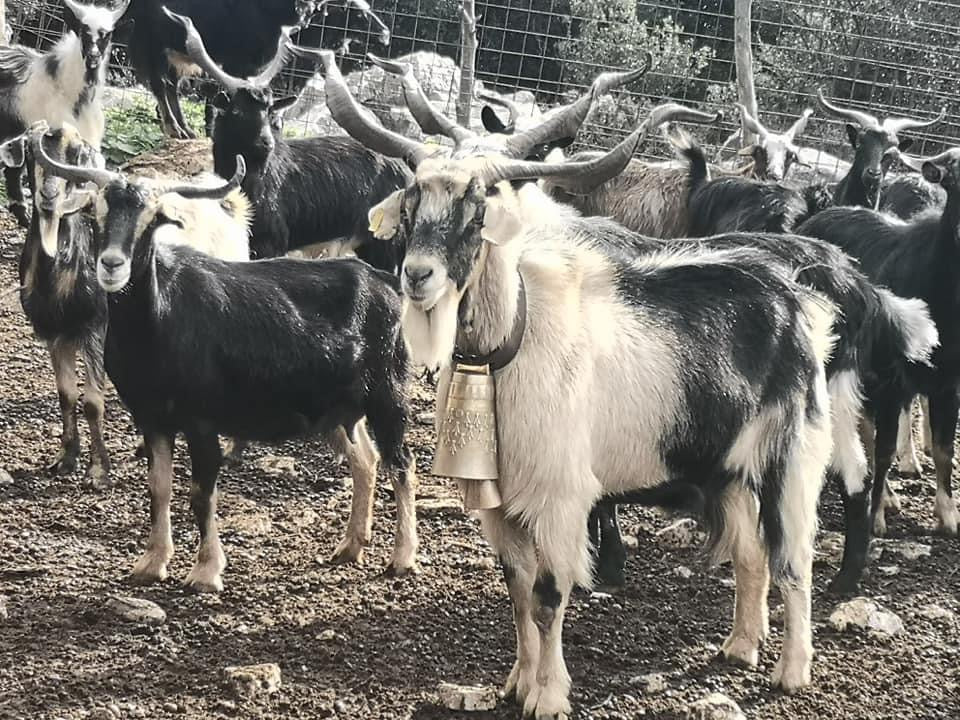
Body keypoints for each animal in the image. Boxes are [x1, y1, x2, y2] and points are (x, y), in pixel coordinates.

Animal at [37, 146, 419, 592]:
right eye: (95, 212)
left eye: (152, 219)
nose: (112, 265)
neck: (159, 318)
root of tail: (385, 284)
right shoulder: (152, 417)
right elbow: (159, 488)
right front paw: (151, 563)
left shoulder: (201, 419)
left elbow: (201, 493)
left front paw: (205, 571)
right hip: (340, 410)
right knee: (366, 461)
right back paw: (350, 546)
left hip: (388, 393)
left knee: (401, 464)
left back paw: (402, 558)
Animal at [323, 48, 836, 711]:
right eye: (412, 202)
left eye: (479, 208)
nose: (418, 276)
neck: (513, 342)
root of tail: (800, 303)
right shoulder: (503, 505)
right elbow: (516, 589)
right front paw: (516, 682)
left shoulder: (561, 500)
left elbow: (548, 596)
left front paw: (548, 696)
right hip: (723, 470)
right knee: (751, 556)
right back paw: (740, 647)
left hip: (791, 461)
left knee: (794, 559)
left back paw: (791, 670)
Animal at [798, 147, 960, 539]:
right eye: (954, 180)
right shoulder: (893, 378)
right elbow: (885, 449)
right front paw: (875, 518)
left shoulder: (949, 382)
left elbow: (944, 450)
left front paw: (948, 516)